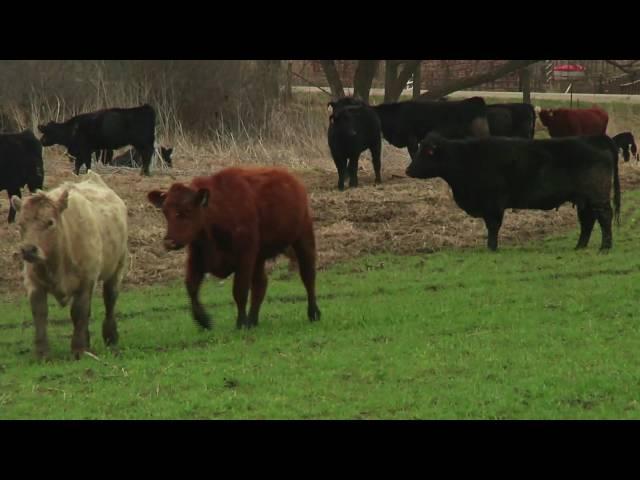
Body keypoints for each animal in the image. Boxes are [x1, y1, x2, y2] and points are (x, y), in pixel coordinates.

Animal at [11, 171, 129, 358]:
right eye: (21, 224)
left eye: (50, 222)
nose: (28, 250)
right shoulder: (33, 283)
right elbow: (40, 313)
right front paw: (42, 352)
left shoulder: (87, 281)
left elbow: (78, 311)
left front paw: (78, 349)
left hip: (117, 269)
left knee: (109, 300)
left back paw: (111, 337)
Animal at [148, 166, 322, 330]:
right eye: (165, 211)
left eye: (187, 210)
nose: (169, 242)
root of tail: (292, 180)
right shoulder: (197, 258)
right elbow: (191, 288)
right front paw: (204, 320)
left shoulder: (245, 257)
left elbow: (240, 290)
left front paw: (241, 323)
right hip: (259, 258)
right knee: (261, 284)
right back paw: (253, 320)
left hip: (303, 239)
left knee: (308, 276)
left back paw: (313, 313)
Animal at [404, 131, 620, 251]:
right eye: (419, 148)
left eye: (428, 152)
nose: (408, 170)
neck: (466, 158)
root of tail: (593, 137)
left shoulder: (493, 203)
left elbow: (493, 226)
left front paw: (491, 248)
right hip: (584, 199)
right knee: (588, 221)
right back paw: (579, 246)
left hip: (597, 196)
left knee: (604, 217)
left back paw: (605, 246)